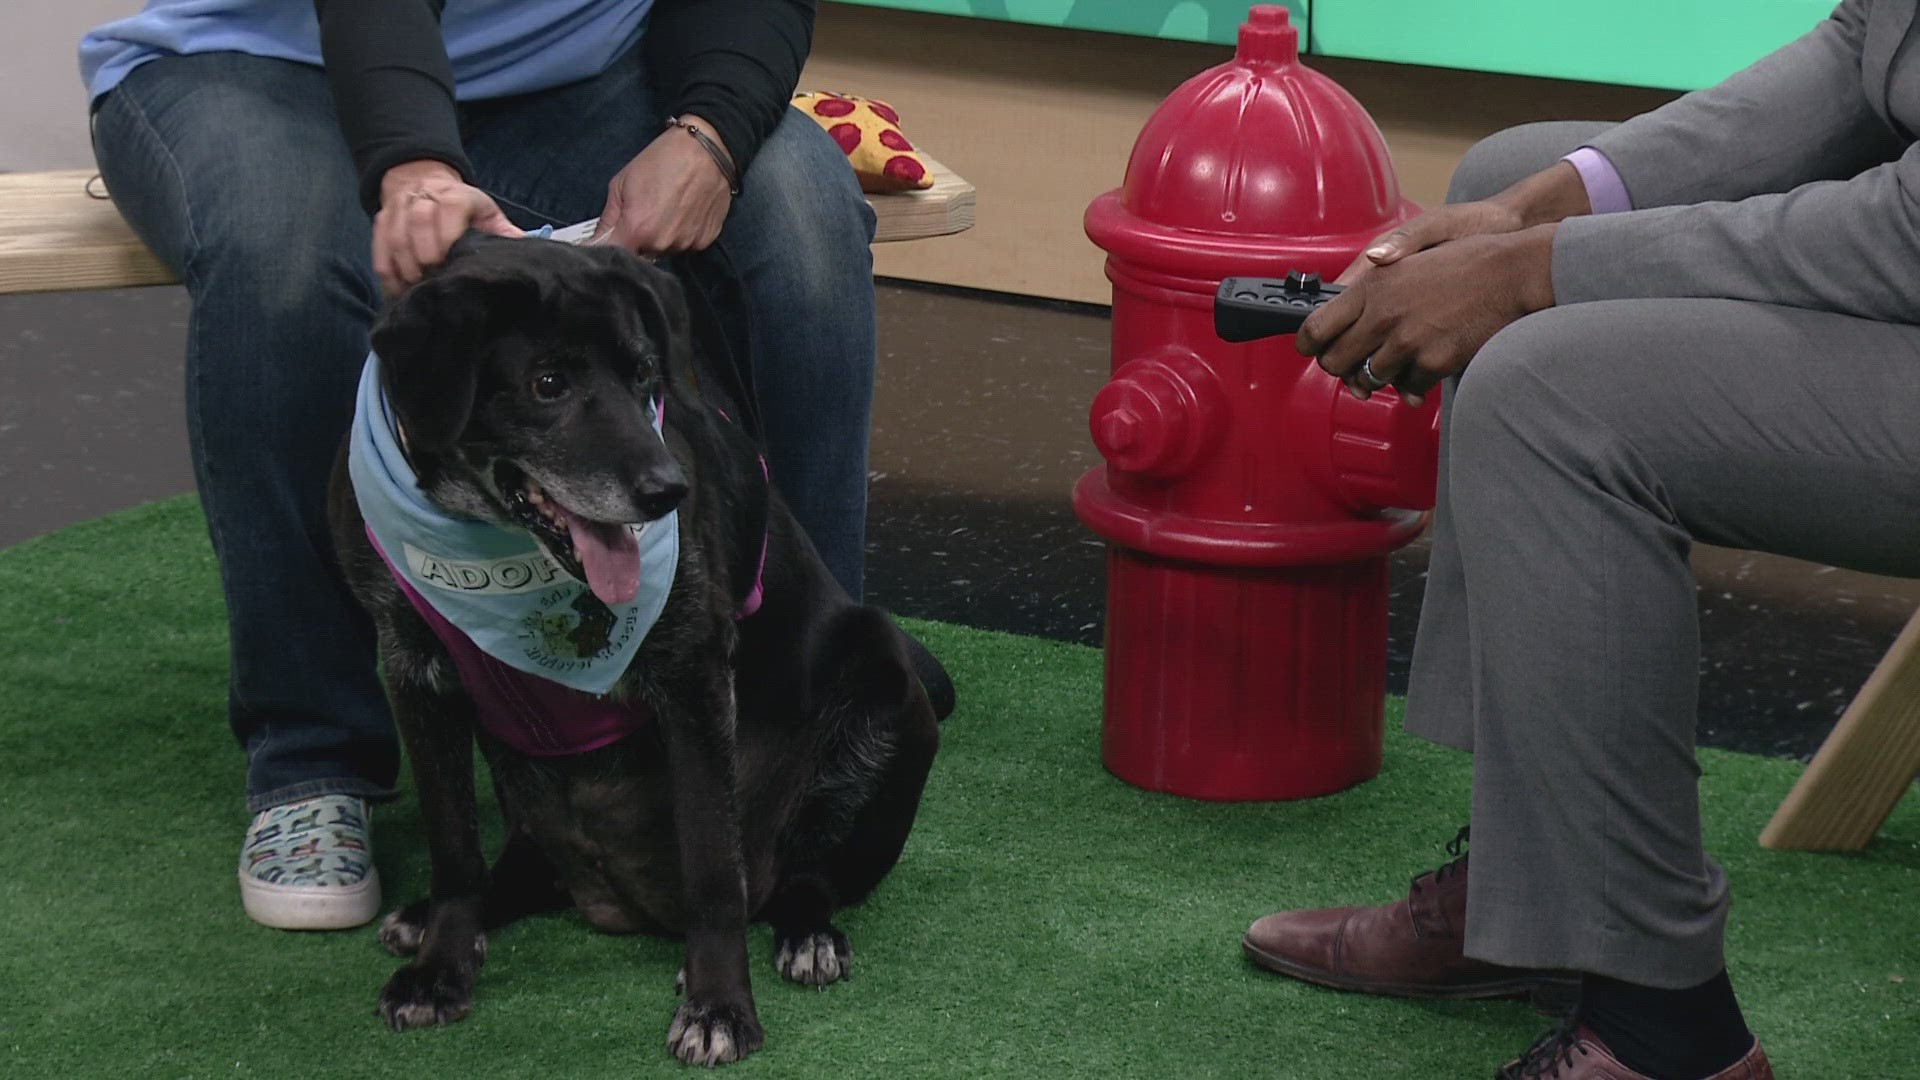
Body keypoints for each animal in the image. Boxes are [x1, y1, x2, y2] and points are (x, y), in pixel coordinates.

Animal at [332, 231, 944, 1060]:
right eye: (547, 384)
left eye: (645, 378)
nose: (666, 491)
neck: (491, 545)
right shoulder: (414, 672)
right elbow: (453, 844)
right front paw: (440, 968)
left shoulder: (691, 672)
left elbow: (713, 868)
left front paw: (719, 1005)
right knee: (518, 863)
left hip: (882, 673)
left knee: (801, 875)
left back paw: (805, 933)